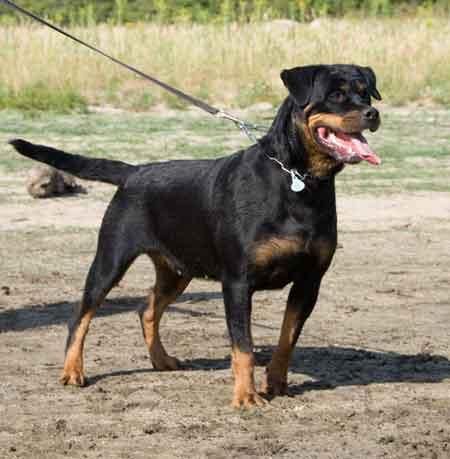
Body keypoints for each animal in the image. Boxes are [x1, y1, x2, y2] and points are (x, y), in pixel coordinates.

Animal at [9, 63, 380, 410]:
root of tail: (134, 172)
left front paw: (276, 384)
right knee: (81, 315)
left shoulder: (309, 281)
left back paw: (161, 360)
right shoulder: (237, 282)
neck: (298, 179)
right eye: (336, 94)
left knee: (147, 309)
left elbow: (287, 339)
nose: (372, 113)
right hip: (110, 260)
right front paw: (246, 397)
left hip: (177, 270)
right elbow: (243, 346)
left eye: (366, 93)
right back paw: (73, 371)